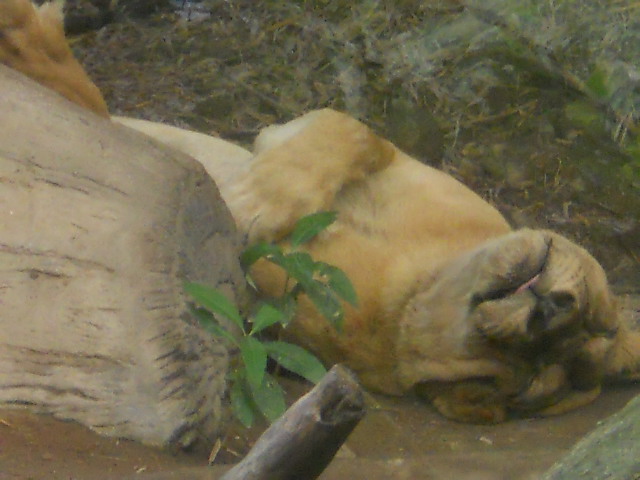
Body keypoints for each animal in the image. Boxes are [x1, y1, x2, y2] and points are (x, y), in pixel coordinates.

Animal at [3, 0, 639, 424]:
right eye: (597, 318)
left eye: (539, 369)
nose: (551, 311)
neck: (422, 277)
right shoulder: (330, 139)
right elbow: (352, 129)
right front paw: (254, 200)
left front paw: (243, 207)